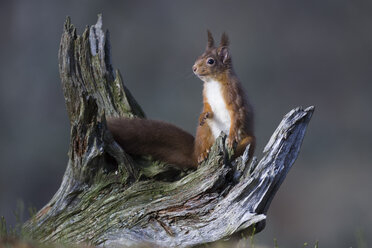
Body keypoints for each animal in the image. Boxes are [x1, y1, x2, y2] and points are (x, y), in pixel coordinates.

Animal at [106, 31, 254, 169]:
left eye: (210, 61)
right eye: (199, 56)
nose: (194, 68)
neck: (213, 82)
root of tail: (193, 154)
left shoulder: (234, 96)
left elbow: (237, 114)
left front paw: (232, 136)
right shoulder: (206, 96)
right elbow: (207, 107)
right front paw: (203, 114)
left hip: (249, 141)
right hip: (205, 131)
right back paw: (202, 154)